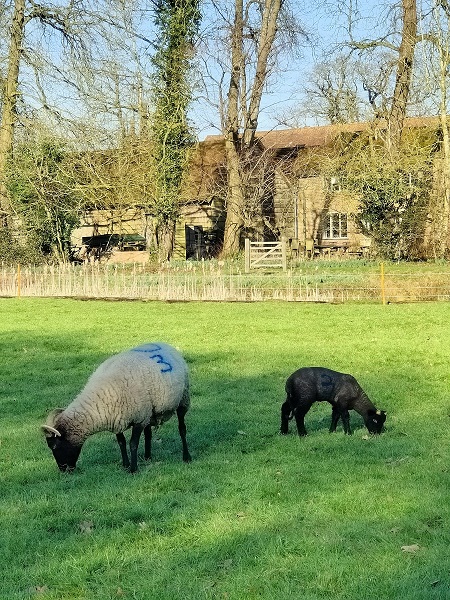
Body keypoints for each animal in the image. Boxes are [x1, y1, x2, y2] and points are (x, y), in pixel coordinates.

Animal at [41, 342, 191, 474]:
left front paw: (133, 469)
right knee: (148, 433)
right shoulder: (117, 419)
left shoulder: (138, 419)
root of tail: (166, 344)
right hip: (148, 412)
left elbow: (133, 444)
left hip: (183, 399)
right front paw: (125, 465)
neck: (99, 401)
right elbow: (121, 442)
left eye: (53, 445)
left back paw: (186, 457)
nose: (63, 470)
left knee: (182, 428)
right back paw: (148, 456)